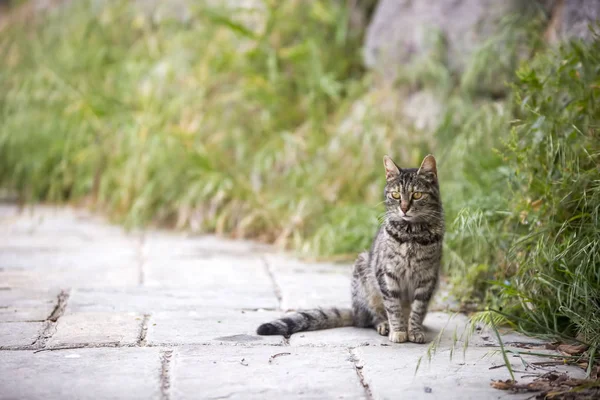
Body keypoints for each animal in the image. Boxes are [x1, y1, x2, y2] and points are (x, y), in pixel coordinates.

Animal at [255, 155, 442, 342]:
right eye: (396, 195)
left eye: (417, 194)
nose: (404, 208)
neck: (411, 233)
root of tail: (354, 311)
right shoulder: (387, 275)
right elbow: (393, 307)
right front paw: (398, 331)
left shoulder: (427, 278)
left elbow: (418, 309)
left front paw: (414, 331)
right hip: (365, 278)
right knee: (370, 317)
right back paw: (384, 325)